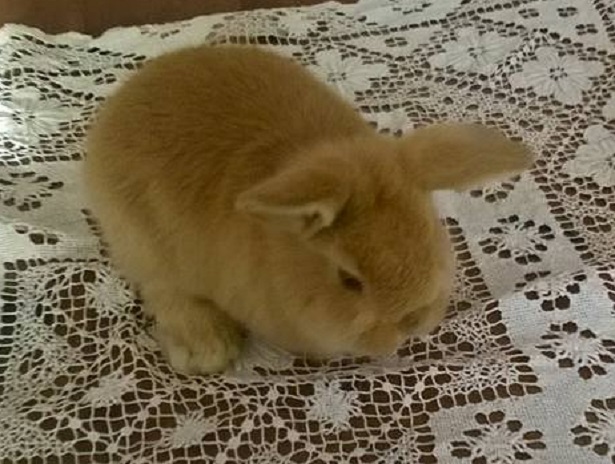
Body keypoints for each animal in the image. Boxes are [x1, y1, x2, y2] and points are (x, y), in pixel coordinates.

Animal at [84, 45, 532, 375]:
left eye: (432, 237)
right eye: (349, 281)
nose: (412, 323)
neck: (277, 252)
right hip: (144, 244)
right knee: (164, 290)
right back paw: (207, 351)